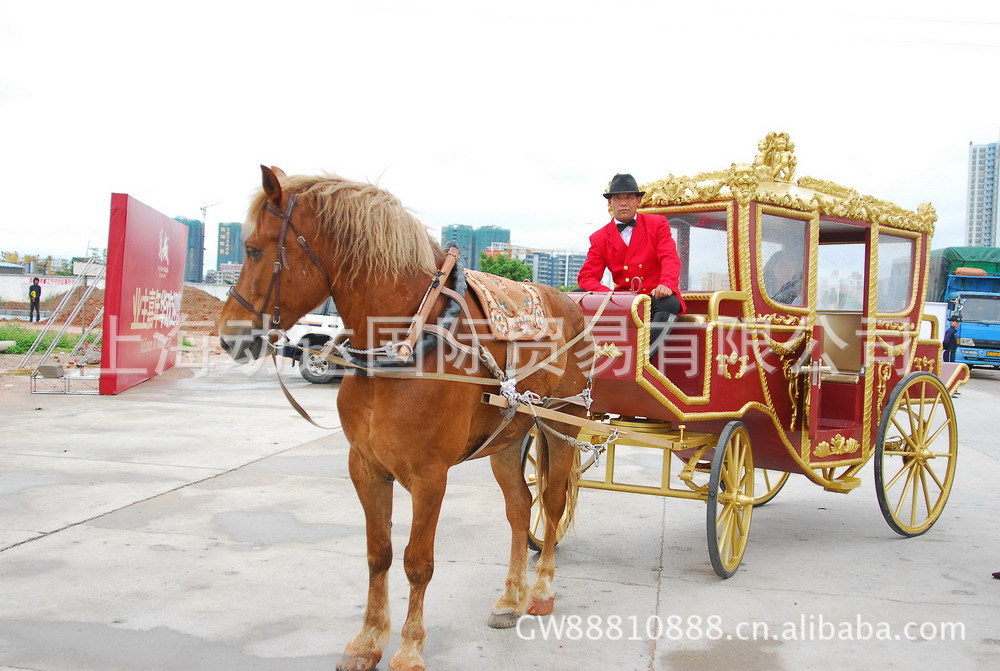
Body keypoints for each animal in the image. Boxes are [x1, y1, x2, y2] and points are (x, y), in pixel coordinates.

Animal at [220, 167, 588, 671]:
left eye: (254, 249)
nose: (227, 336)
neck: (405, 342)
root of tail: (572, 304)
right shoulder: (365, 467)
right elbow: (379, 554)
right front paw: (367, 641)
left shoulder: (430, 475)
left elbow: (418, 562)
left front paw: (410, 648)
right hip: (508, 436)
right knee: (519, 508)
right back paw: (510, 599)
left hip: (564, 424)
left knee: (550, 506)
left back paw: (542, 590)